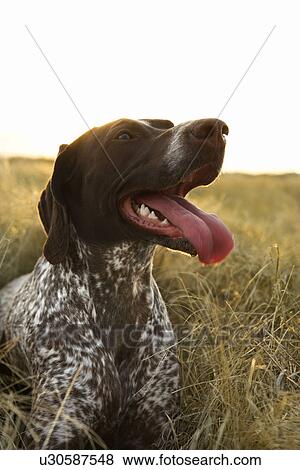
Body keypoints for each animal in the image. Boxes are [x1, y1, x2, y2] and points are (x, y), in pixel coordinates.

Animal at [0, 117, 234, 448]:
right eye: (124, 136)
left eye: (167, 124)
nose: (216, 128)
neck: (121, 289)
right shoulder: (56, 432)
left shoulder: (155, 430)